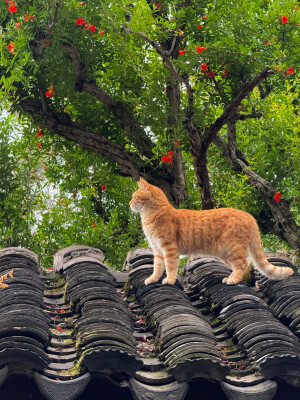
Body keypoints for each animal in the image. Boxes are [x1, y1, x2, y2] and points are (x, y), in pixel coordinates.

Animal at [129, 177, 292, 284]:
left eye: (135, 197)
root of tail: (249, 216)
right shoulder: (157, 250)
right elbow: (157, 267)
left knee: (243, 264)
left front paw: (169, 279)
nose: (130, 203)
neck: (150, 216)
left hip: (231, 248)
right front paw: (153, 279)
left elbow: (170, 266)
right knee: (238, 266)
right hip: (226, 253)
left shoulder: (169, 248)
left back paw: (233, 280)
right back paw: (229, 278)